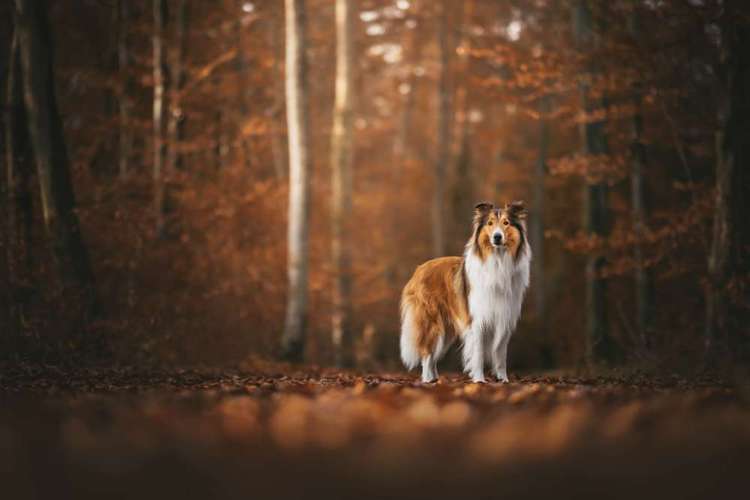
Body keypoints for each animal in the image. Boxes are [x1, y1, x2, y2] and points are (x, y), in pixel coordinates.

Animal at [402, 201, 532, 380]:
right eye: (490, 223)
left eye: (506, 223)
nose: (497, 237)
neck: (498, 260)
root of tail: (419, 269)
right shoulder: (477, 321)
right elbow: (478, 353)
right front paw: (479, 380)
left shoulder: (503, 319)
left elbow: (500, 354)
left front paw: (503, 380)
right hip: (431, 323)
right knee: (427, 354)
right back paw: (428, 380)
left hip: (447, 330)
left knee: (433, 356)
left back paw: (435, 380)